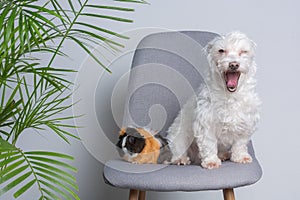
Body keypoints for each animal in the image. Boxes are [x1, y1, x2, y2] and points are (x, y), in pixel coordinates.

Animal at [166, 31, 260, 169]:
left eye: (243, 52)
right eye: (221, 51)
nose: (233, 64)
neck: (230, 97)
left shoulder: (246, 122)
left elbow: (240, 143)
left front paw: (240, 156)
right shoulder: (206, 123)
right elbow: (208, 144)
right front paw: (211, 161)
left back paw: (223, 155)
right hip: (178, 135)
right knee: (178, 149)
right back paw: (180, 159)